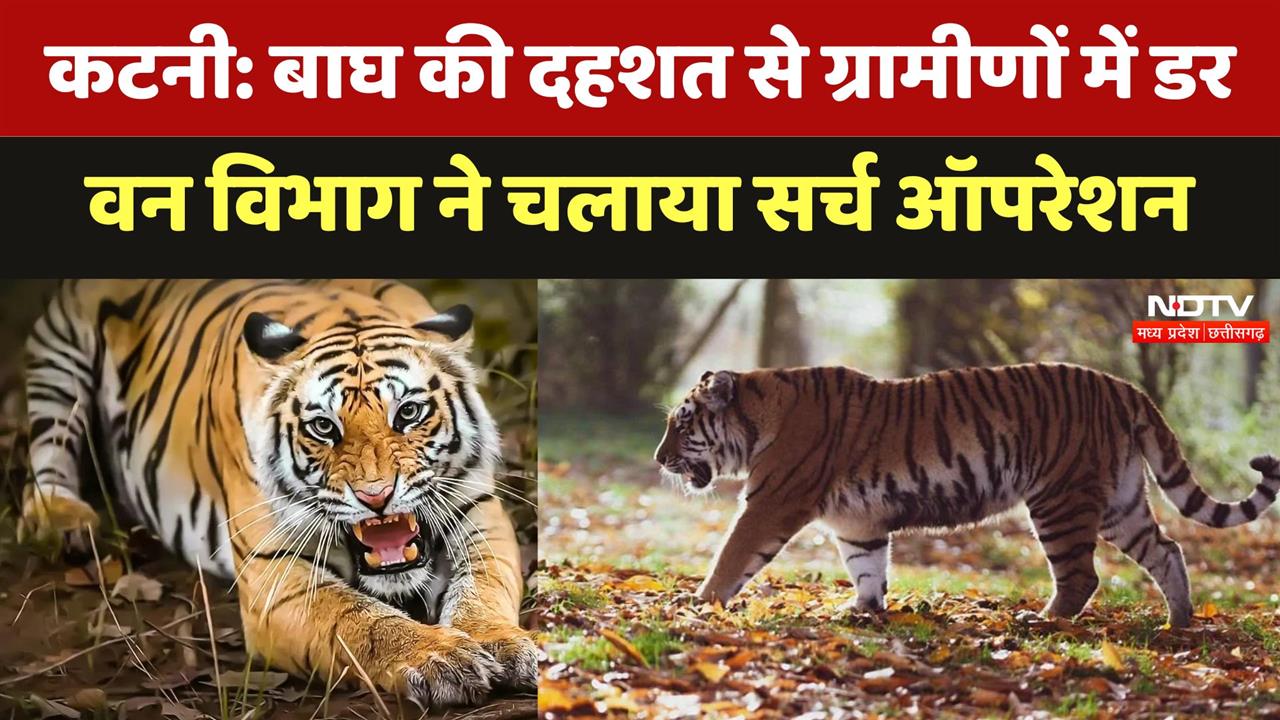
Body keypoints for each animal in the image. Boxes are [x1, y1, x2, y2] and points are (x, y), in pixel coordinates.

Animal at [17, 279, 536, 707]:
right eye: (323, 427)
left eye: (408, 413)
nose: (375, 496)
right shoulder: (274, 575)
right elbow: (360, 619)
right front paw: (441, 659)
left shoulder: (480, 511)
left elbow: (483, 586)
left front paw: (502, 643)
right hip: (57, 352)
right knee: (49, 441)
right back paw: (64, 519)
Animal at [654, 364, 1280, 628]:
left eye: (682, 425)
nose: (659, 460)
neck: (761, 413)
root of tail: (1124, 387)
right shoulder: (857, 522)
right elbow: (867, 566)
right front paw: (862, 610)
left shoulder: (771, 503)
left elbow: (732, 555)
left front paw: (699, 602)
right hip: (1120, 502)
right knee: (1168, 550)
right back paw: (1180, 623)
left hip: (1060, 499)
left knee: (1082, 576)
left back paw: (1043, 622)